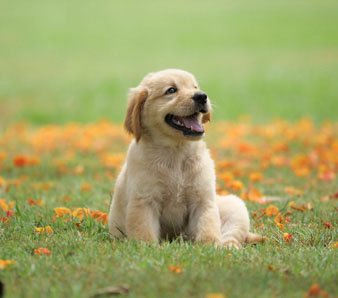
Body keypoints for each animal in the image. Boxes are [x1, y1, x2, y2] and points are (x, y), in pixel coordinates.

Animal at [108, 68, 264, 248]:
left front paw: (211, 248)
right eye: (171, 90)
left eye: (195, 87)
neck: (176, 153)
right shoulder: (144, 201)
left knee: (232, 235)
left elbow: (208, 228)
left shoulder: (203, 200)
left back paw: (229, 248)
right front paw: (149, 248)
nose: (202, 96)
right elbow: (144, 233)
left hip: (235, 206)